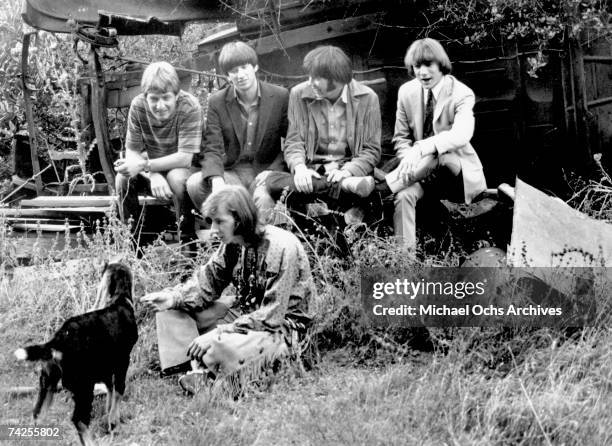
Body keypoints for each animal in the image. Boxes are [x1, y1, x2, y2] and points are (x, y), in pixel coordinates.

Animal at [14, 262, 139, 446]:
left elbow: (110, 391)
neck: (120, 302)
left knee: (38, 414)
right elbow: (118, 392)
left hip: (48, 382)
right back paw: (91, 442)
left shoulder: (106, 367)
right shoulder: (122, 362)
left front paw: (108, 418)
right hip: (83, 387)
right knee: (78, 420)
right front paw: (113, 423)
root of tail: (58, 340)